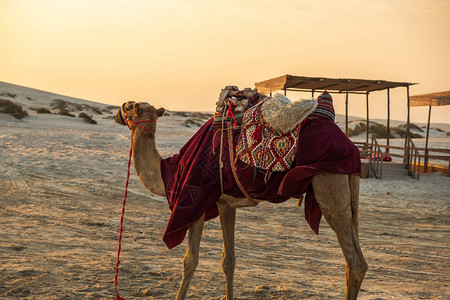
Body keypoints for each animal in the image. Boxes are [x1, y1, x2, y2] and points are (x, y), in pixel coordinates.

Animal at [117, 101, 370, 300]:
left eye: (130, 106)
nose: (119, 111)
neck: (169, 171)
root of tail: (352, 149)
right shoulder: (225, 204)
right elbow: (228, 260)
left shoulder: (194, 202)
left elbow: (190, 261)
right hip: (347, 193)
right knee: (353, 259)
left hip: (330, 186)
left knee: (355, 262)